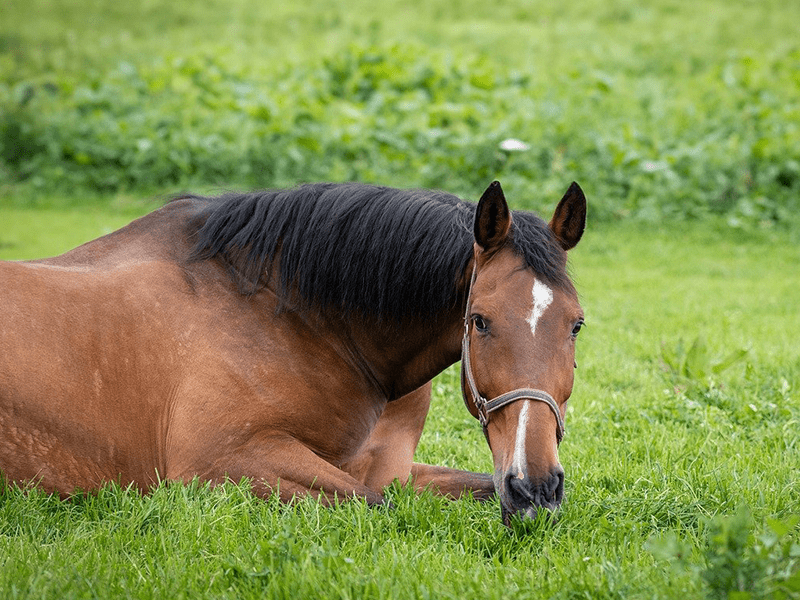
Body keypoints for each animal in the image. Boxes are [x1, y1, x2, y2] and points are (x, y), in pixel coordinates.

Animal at [0, 180, 586, 525]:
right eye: (479, 321)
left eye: (576, 324)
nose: (536, 488)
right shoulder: (223, 463)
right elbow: (376, 505)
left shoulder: (391, 469)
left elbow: (464, 487)